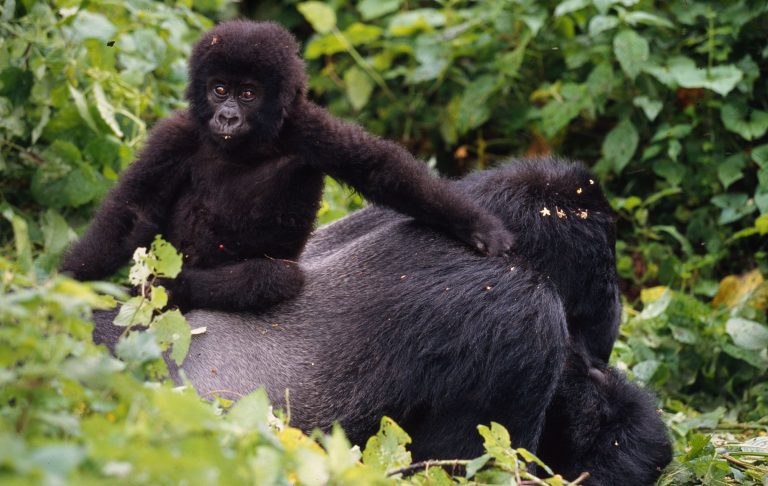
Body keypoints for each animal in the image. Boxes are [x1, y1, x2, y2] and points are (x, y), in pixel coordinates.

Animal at [63, 19, 512, 312]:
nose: (227, 117)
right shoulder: (175, 134)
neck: (248, 145)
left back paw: (178, 288)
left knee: (276, 278)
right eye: (219, 89)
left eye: (247, 93)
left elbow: (380, 170)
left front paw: (476, 225)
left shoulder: (307, 127)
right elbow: (132, 213)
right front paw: (66, 287)